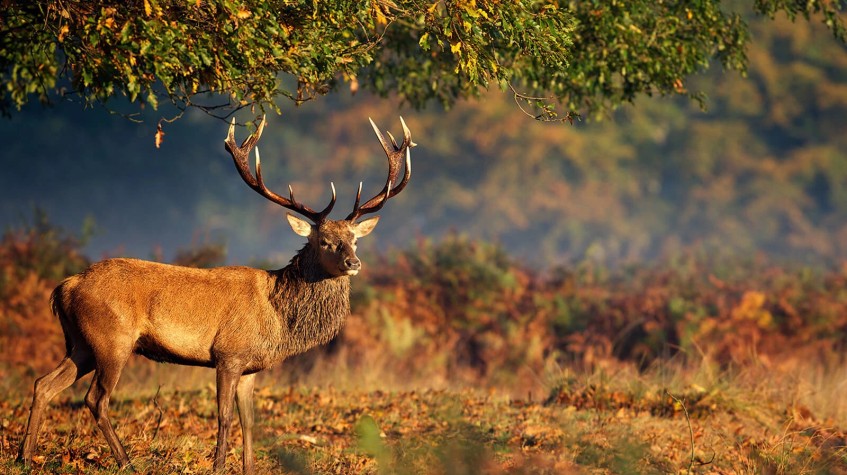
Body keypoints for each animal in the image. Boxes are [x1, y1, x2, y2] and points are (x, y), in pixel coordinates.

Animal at [16, 116, 414, 474]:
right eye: (324, 241)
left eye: (355, 239)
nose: (353, 262)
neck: (277, 318)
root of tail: (65, 287)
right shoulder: (227, 354)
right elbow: (223, 417)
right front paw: (219, 466)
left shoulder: (252, 367)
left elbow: (249, 421)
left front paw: (249, 468)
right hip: (112, 339)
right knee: (96, 399)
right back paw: (126, 462)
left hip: (82, 343)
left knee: (44, 384)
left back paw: (24, 458)